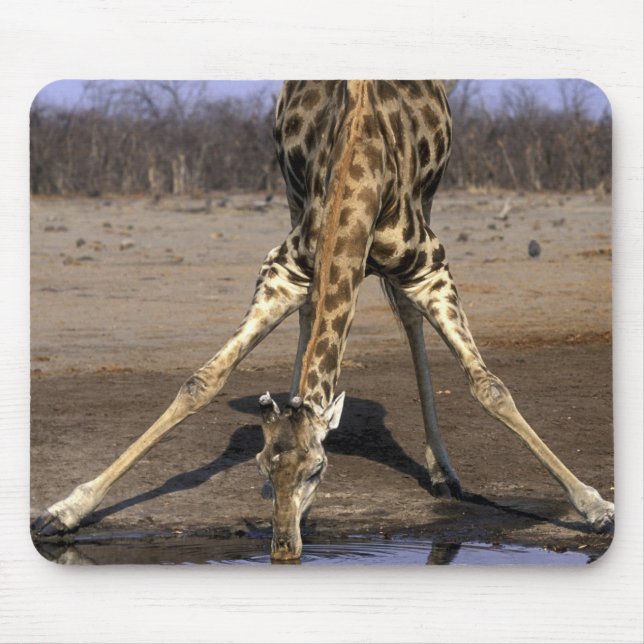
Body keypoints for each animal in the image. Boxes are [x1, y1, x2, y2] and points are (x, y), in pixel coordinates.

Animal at [32, 81, 614, 561]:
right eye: (263, 466)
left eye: (319, 469)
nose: (285, 549)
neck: (360, 165)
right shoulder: (284, 267)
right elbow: (202, 381)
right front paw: (64, 510)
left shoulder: (430, 267)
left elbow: (489, 387)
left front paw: (595, 506)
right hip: (291, 195)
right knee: (319, 311)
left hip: (427, 204)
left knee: (407, 317)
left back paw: (442, 471)